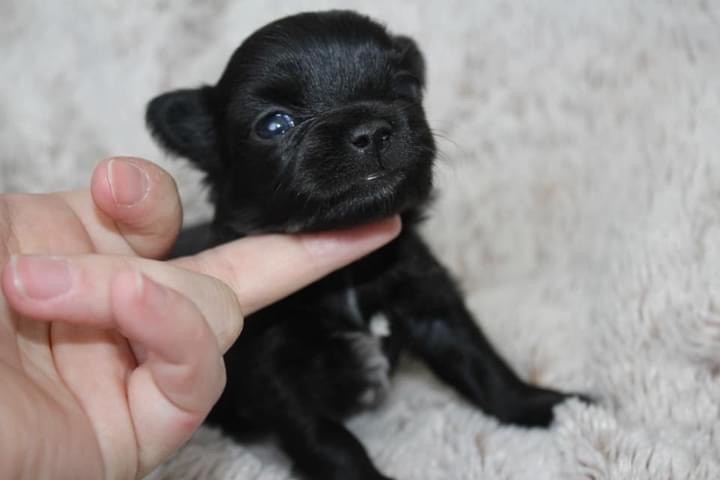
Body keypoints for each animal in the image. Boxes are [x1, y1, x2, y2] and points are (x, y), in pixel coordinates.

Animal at [148, 11, 580, 480]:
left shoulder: (431, 302)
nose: (371, 130)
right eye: (274, 124)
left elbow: (486, 368)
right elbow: (327, 439)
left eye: (406, 87)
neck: (348, 273)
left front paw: (554, 409)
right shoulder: (277, 370)